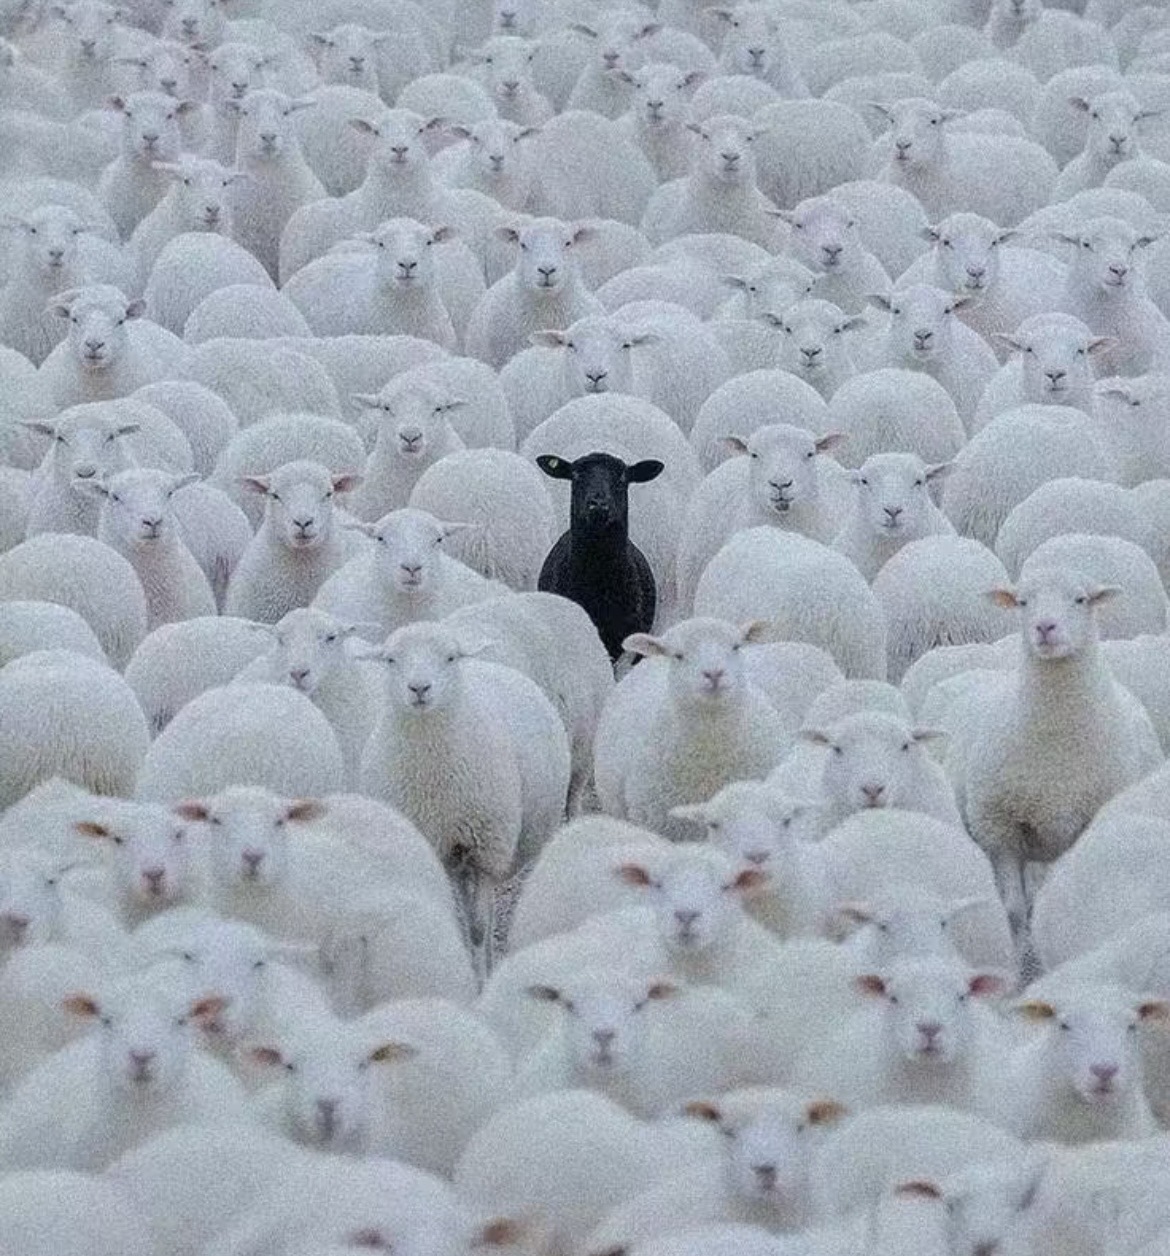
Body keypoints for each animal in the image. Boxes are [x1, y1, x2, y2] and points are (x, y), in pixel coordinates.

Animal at [357, 619, 571, 951]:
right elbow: (459, 924)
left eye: (450, 657)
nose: (419, 689)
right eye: (391, 660)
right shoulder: (437, 849)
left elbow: (479, 928)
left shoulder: (485, 851)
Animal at [943, 564, 1163, 951]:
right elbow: (1014, 911)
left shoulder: (1081, 823)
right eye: (1022, 602)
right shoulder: (1000, 829)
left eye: (1080, 599)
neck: (1056, 740)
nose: (1045, 627)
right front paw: (1017, 960)